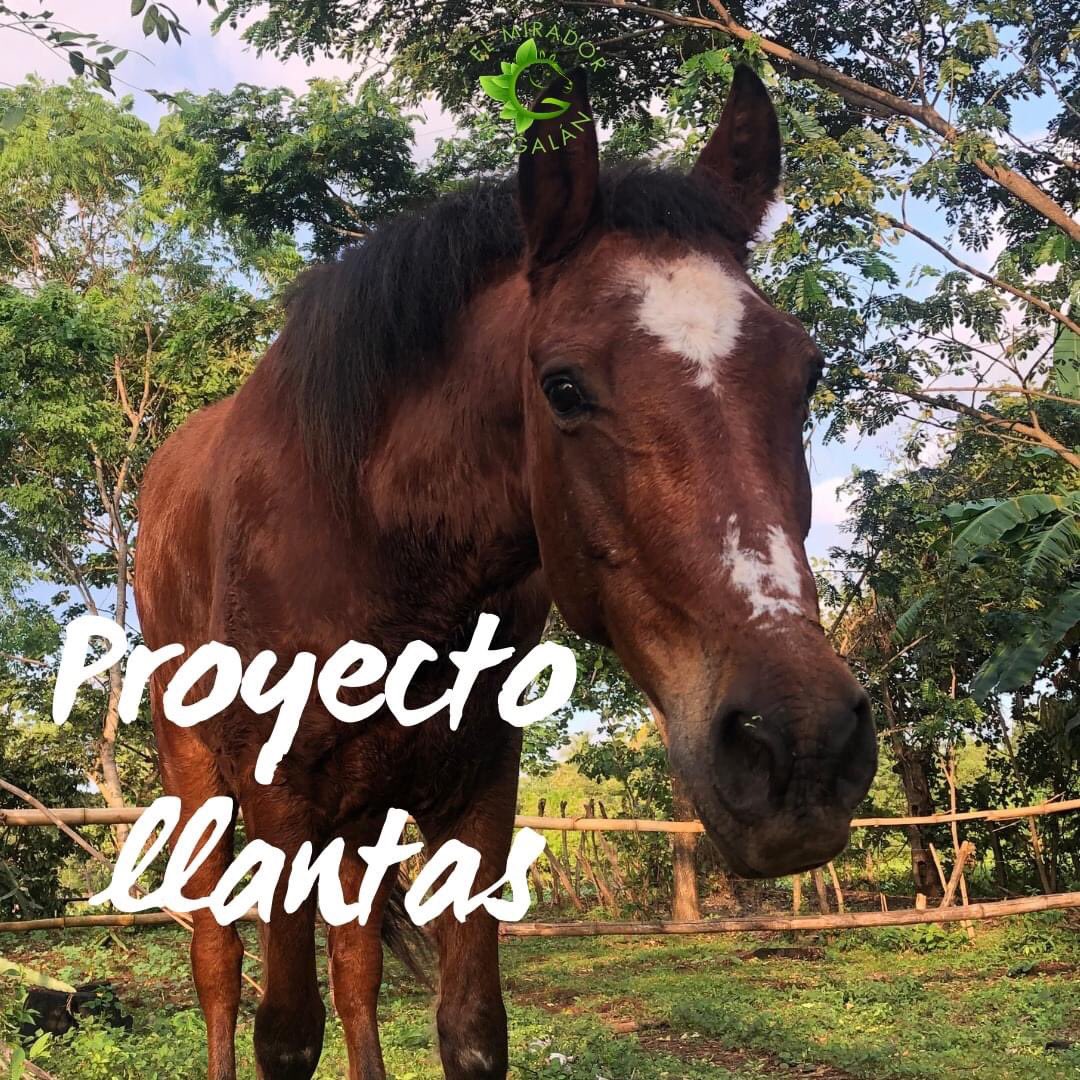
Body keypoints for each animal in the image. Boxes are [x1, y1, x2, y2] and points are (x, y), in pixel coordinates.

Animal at [134, 66, 877, 1080]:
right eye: (562, 387)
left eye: (807, 374)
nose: (800, 744)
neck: (376, 538)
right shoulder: (281, 797)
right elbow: (283, 1033)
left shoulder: (479, 792)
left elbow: (471, 1027)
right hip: (200, 777)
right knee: (217, 961)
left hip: (359, 816)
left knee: (357, 965)